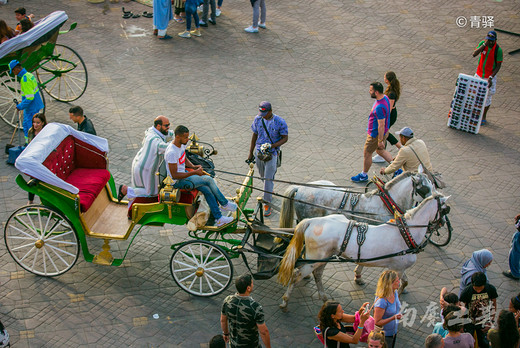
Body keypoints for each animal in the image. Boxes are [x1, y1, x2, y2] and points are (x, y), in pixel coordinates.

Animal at [278, 193, 448, 310]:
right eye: (446, 209)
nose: (442, 225)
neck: (406, 233)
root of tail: (312, 221)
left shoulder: (396, 267)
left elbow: (403, 282)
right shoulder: (397, 268)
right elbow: (396, 287)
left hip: (324, 257)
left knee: (317, 274)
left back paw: (324, 298)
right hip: (316, 258)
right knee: (297, 274)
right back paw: (285, 301)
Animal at [280, 172, 434, 286]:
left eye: (432, 186)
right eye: (424, 188)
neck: (385, 205)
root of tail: (300, 188)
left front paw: (358, 275)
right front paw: (359, 275)